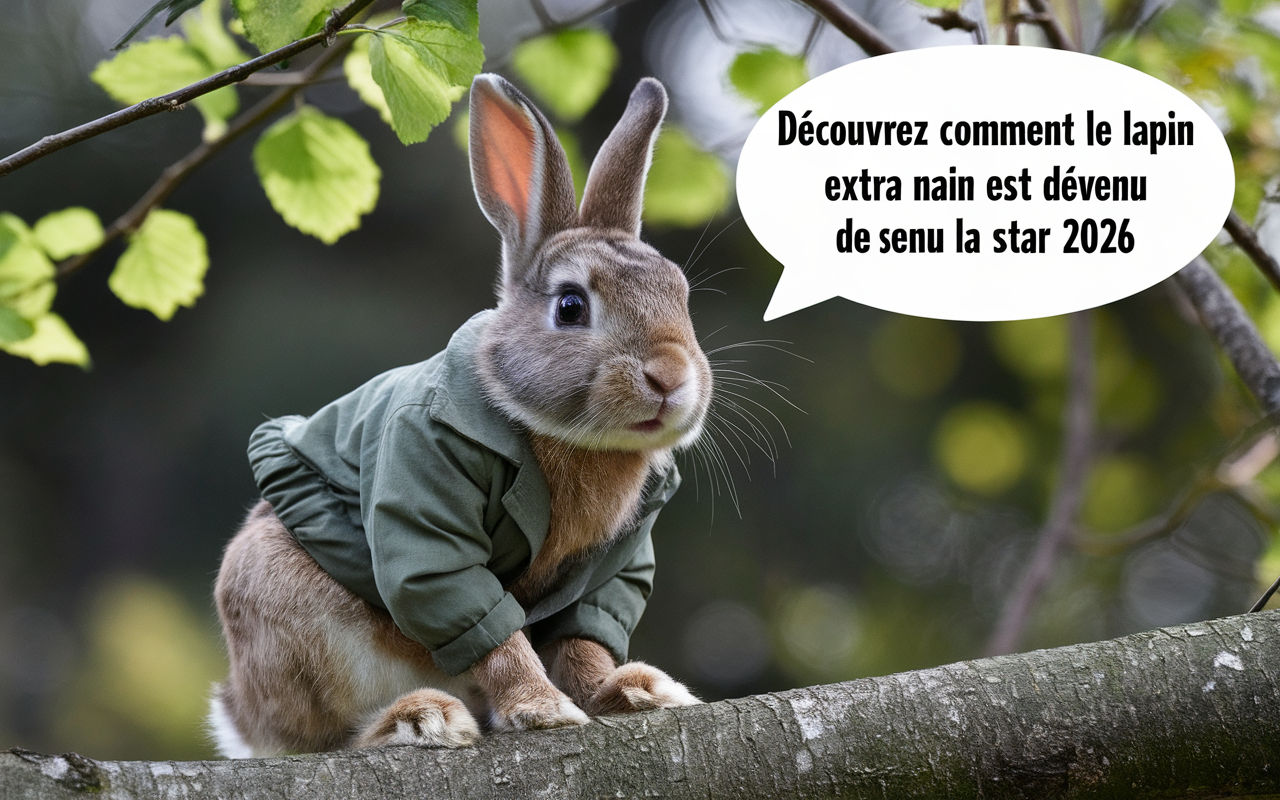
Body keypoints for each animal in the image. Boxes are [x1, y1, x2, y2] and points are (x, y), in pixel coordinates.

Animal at [209, 73, 711, 757]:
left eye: (680, 296)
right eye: (571, 305)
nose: (671, 376)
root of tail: (237, 715)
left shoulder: (608, 566)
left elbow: (583, 638)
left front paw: (629, 693)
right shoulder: (428, 515)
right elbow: (482, 621)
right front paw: (541, 710)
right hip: (292, 614)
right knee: (326, 740)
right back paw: (423, 718)